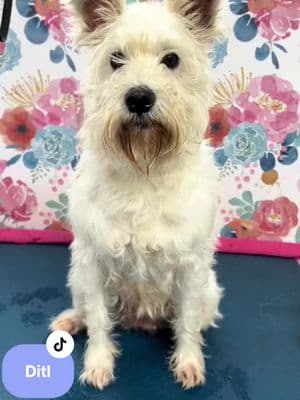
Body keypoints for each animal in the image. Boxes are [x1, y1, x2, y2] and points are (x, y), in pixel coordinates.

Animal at [51, 0, 224, 390]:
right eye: (116, 58)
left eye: (171, 59)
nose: (139, 98)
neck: (144, 165)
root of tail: (140, 318)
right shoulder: (92, 260)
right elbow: (99, 320)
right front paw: (98, 363)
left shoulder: (191, 267)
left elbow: (188, 322)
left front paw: (188, 362)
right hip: (76, 276)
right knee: (86, 309)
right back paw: (70, 319)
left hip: (210, 291)